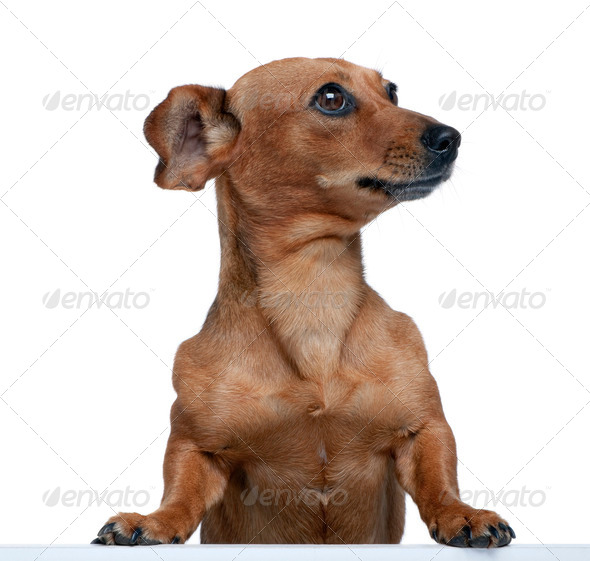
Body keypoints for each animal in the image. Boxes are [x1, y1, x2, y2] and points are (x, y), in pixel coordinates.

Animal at [93, 58, 520, 548]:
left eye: (392, 91)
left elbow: (439, 481)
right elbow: (180, 493)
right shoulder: (195, 446)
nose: (451, 137)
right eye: (331, 98)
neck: (314, 293)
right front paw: (156, 521)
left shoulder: (424, 428)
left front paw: (460, 512)